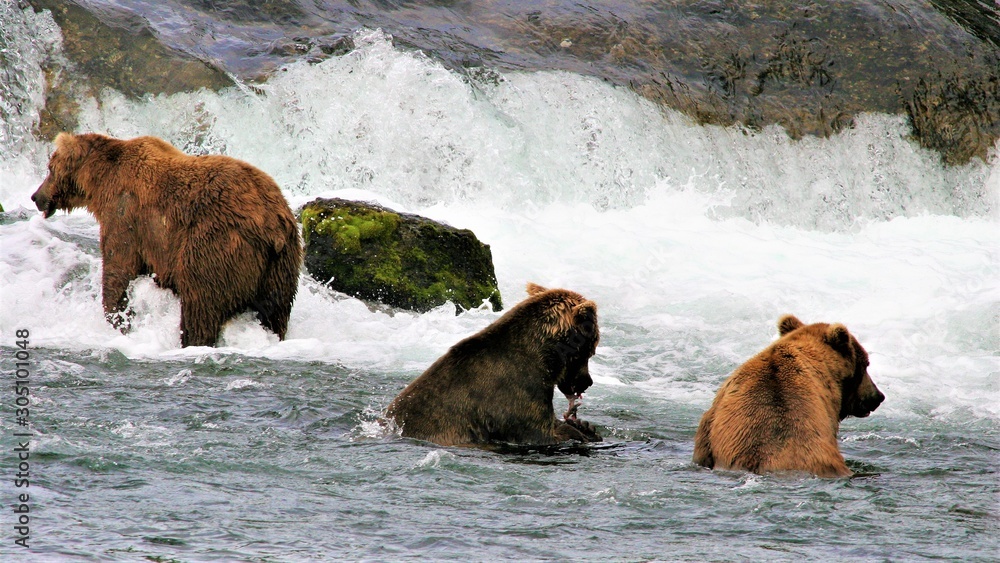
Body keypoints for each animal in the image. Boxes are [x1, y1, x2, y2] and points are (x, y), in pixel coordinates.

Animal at [31, 133, 302, 347]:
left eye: (49, 168)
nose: (36, 196)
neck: (100, 181)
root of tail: (271, 223)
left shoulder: (125, 216)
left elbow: (119, 269)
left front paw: (119, 319)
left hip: (216, 244)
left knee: (200, 305)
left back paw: (191, 340)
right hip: (282, 265)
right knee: (275, 312)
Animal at [385, 283, 603, 447]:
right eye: (591, 350)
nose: (587, 381)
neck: (542, 357)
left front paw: (586, 426)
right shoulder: (514, 392)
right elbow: (537, 432)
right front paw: (577, 432)